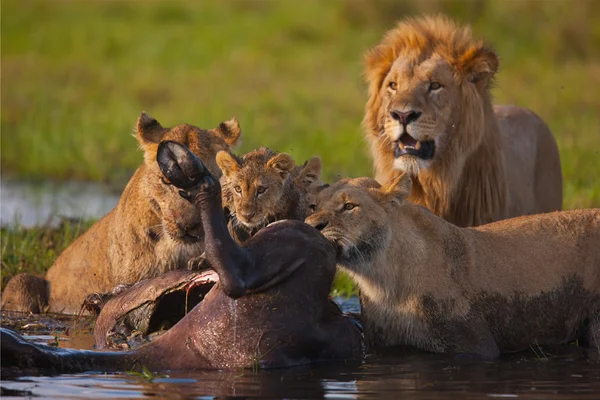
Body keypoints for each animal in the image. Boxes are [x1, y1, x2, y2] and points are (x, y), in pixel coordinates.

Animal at [308, 175, 596, 360]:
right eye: (313, 206)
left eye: (349, 206)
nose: (313, 225)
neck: (384, 283)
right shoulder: (385, 345)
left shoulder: (475, 348)